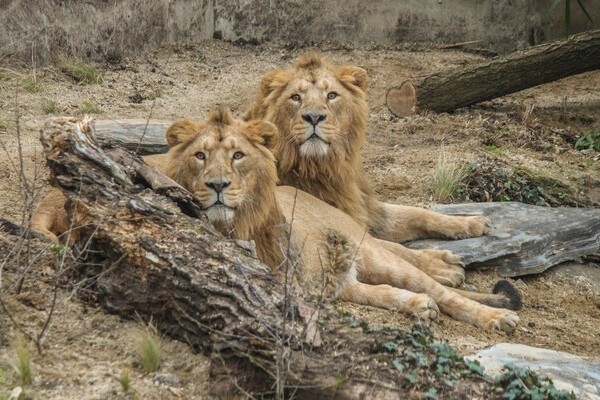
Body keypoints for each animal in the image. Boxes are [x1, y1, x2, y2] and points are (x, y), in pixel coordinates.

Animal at [164, 106, 520, 332]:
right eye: (200, 156)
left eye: (238, 156)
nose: (217, 185)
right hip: (339, 284)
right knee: (386, 290)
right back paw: (421, 303)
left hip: (373, 255)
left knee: (441, 290)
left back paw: (492, 312)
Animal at [245, 54, 492, 290]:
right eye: (296, 97)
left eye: (332, 95)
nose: (314, 117)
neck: (322, 167)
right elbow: (395, 248)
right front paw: (441, 266)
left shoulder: (364, 209)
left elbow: (418, 213)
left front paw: (472, 222)